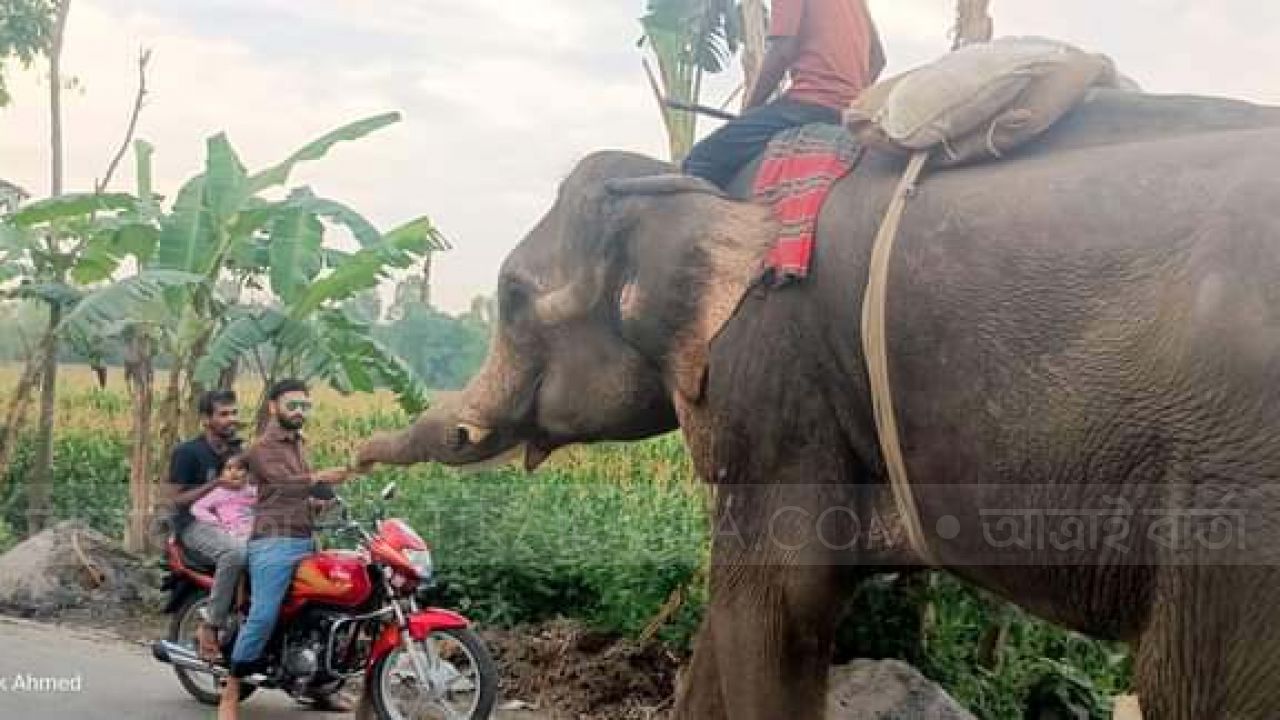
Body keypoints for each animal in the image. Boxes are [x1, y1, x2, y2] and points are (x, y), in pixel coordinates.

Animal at [355, 89, 1280, 717]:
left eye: (512, 298)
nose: (349, 463)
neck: (687, 184)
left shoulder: (769, 362)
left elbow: (780, 595)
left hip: (1233, 489)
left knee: (1192, 680)